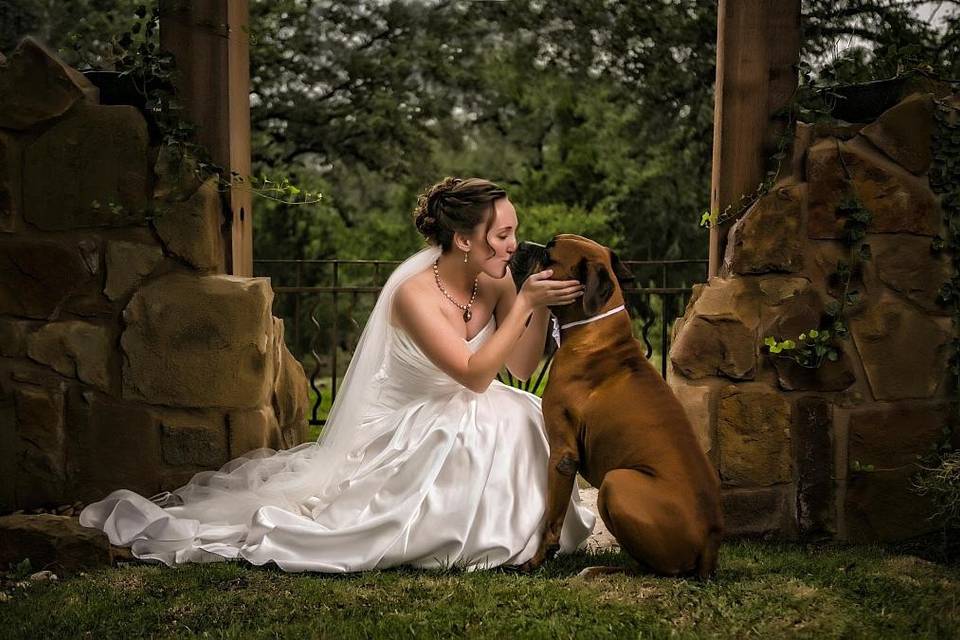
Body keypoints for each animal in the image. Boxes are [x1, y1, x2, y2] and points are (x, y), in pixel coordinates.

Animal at [512, 235, 724, 580]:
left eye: (549, 256)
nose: (521, 244)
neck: (593, 327)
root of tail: (712, 541)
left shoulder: (562, 456)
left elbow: (552, 518)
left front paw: (536, 560)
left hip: (616, 482)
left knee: (657, 568)